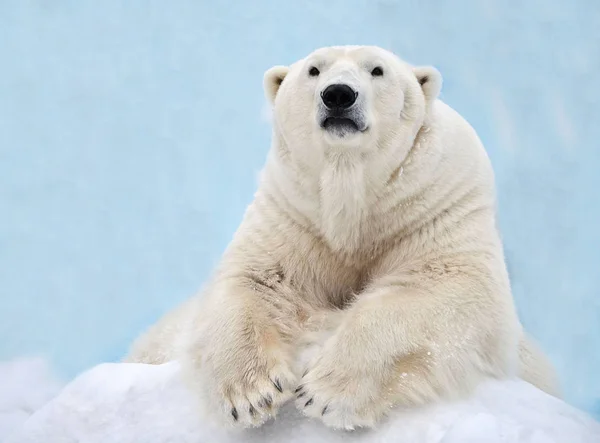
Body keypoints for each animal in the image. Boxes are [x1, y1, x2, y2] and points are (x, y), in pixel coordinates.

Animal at [127, 46, 564, 432]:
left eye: (377, 70)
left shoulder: (437, 203)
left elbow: (442, 285)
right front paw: (253, 394)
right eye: (314, 70)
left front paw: (325, 393)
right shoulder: (294, 213)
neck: (354, 193)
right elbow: (255, 280)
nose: (338, 94)